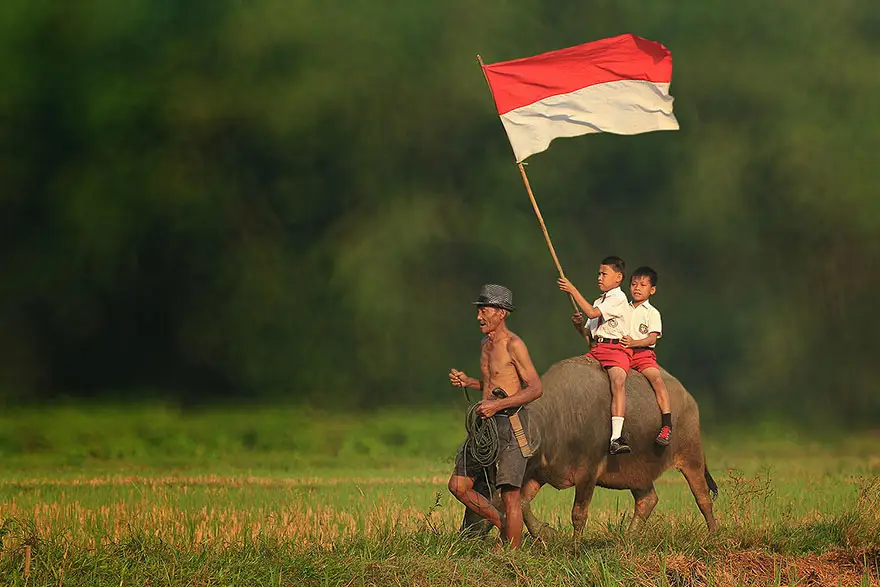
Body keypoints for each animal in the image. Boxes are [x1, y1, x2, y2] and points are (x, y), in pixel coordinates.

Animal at [460, 356, 716, 540]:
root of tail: (688, 398)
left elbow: (578, 513)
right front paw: (547, 533)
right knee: (647, 500)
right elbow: (523, 504)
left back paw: (713, 534)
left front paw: (574, 545)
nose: (465, 533)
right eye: (477, 485)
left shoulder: (588, 472)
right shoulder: (541, 471)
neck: (554, 422)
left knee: (703, 496)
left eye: (483, 492)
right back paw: (629, 537)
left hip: (691, 455)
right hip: (637, 472)